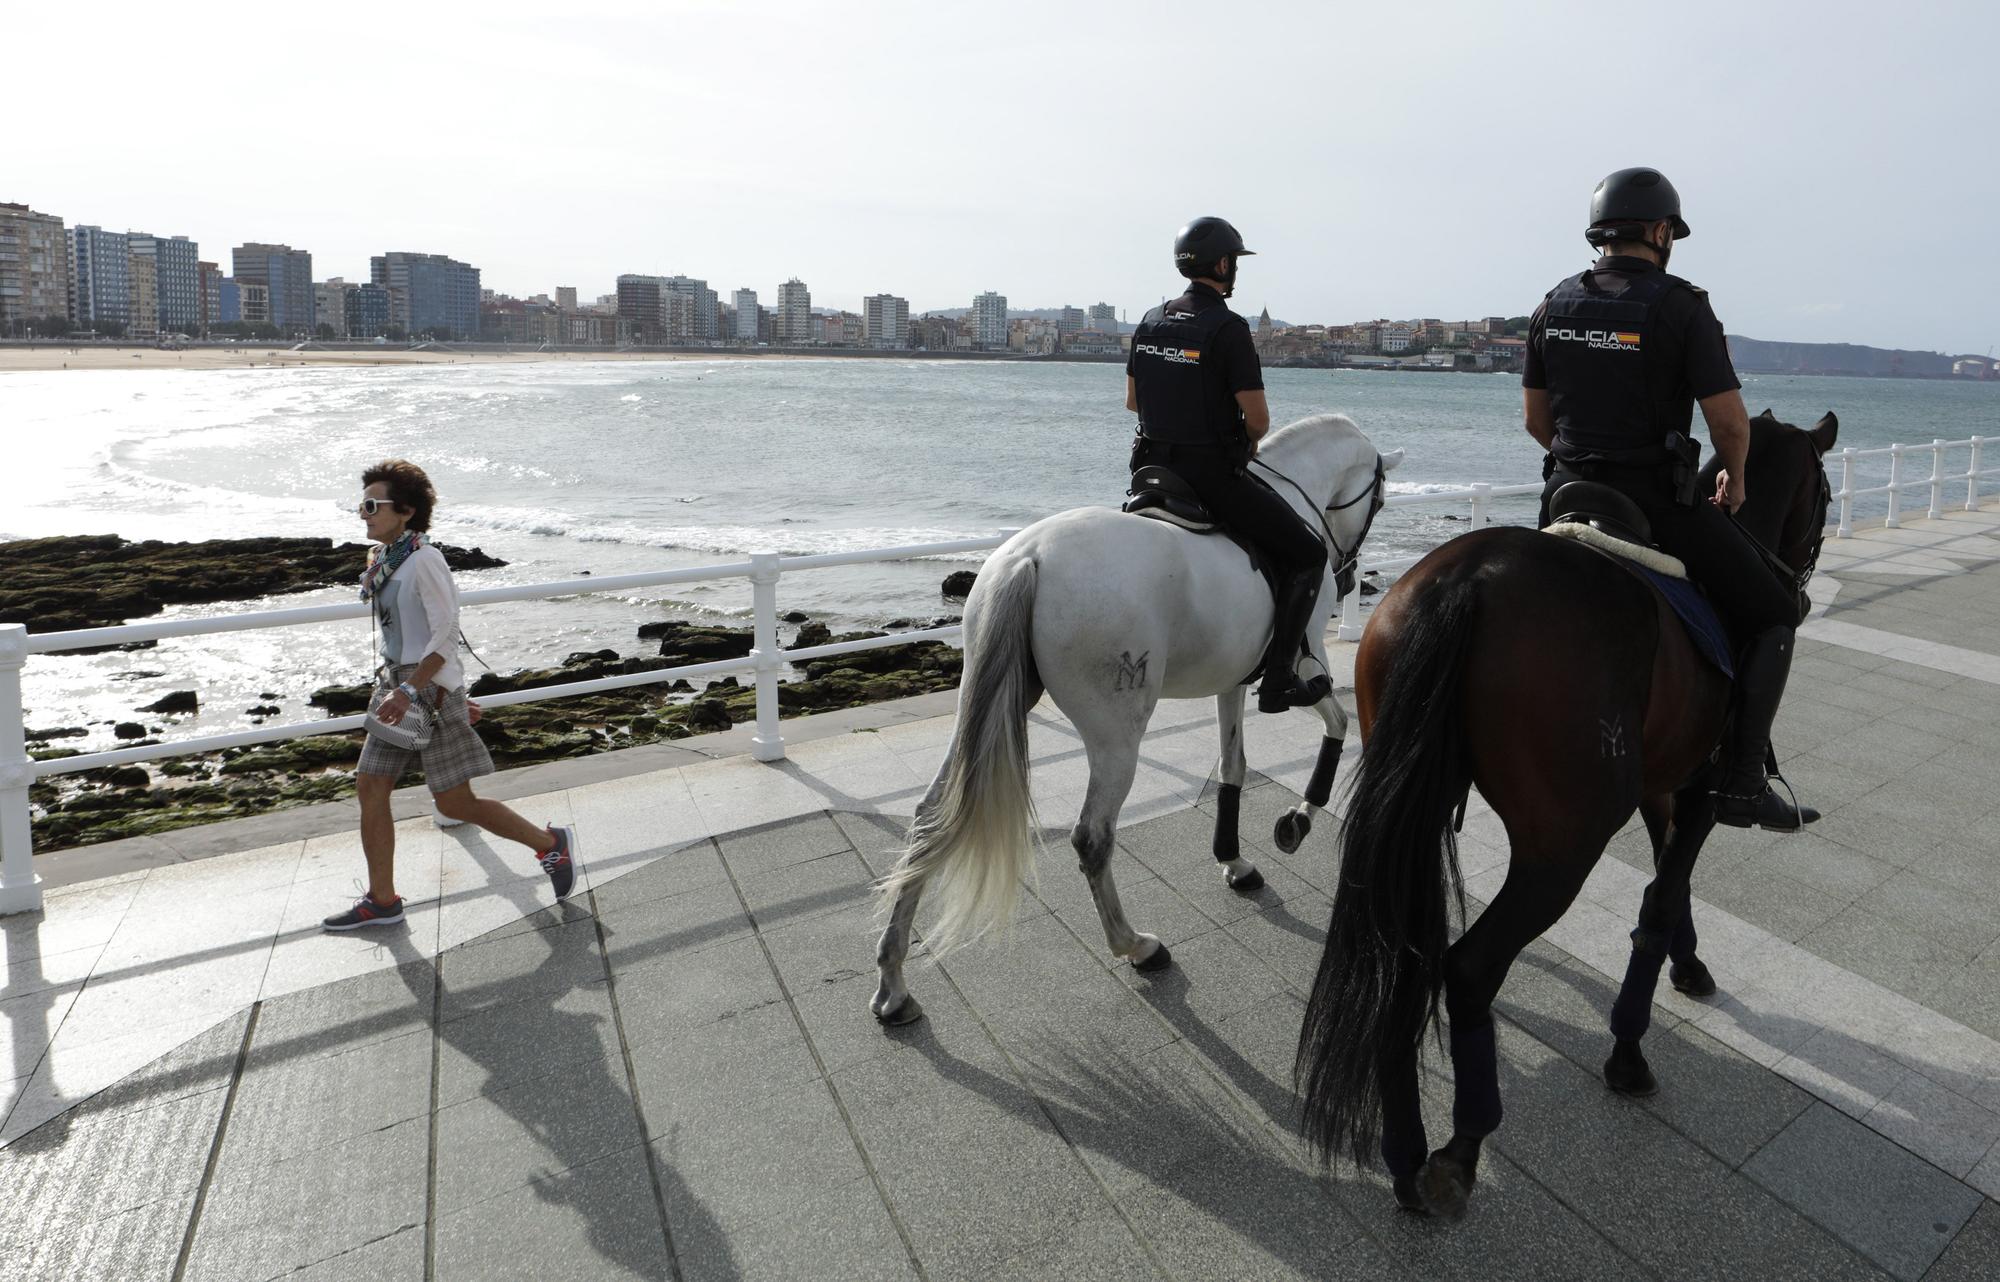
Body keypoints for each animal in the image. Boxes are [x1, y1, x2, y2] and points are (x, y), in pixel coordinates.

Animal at [868, 410, 1400, 1020]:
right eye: (1380, 499)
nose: (1347, 572)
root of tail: (1030, 557)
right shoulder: (1306, 669)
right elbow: (1338, 725)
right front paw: (1297, 820)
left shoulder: (1231, 684)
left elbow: (1233, 767)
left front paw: (1234, 861)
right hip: (1117, 734)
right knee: (1093, 837)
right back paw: (1136, 946)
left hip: (984, 703)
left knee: (930, 814)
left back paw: (892, 981)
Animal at [1304, 412, 1832, 1216]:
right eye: (1826, 498)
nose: (1796, 582)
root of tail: (1470, 578)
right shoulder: (1699, 792)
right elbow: (1659, 902)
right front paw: (1629, 1049)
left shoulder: (1663, 787)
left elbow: (1670, 888)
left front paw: (1689, 964)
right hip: (1562, 847)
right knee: (1469, 969)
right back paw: (1461, 1146)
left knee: (1404, 955)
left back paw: (1403, 1156)